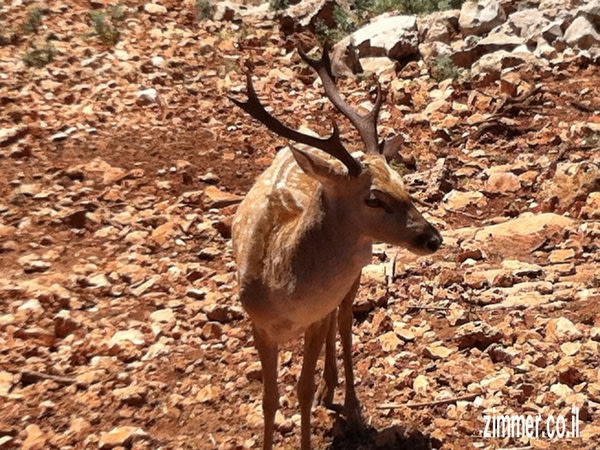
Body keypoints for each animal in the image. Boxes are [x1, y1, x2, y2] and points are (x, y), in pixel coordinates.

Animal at [229, 43, 440, 450]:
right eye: (373, 198)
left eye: (403, 183)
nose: (433, 238)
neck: (284, 295)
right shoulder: (257, 322)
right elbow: (269, 398)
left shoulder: (314, 316)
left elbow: (302, 389)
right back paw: (332, 389)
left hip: (356, 269)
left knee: (342, 322)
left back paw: (348, 401)